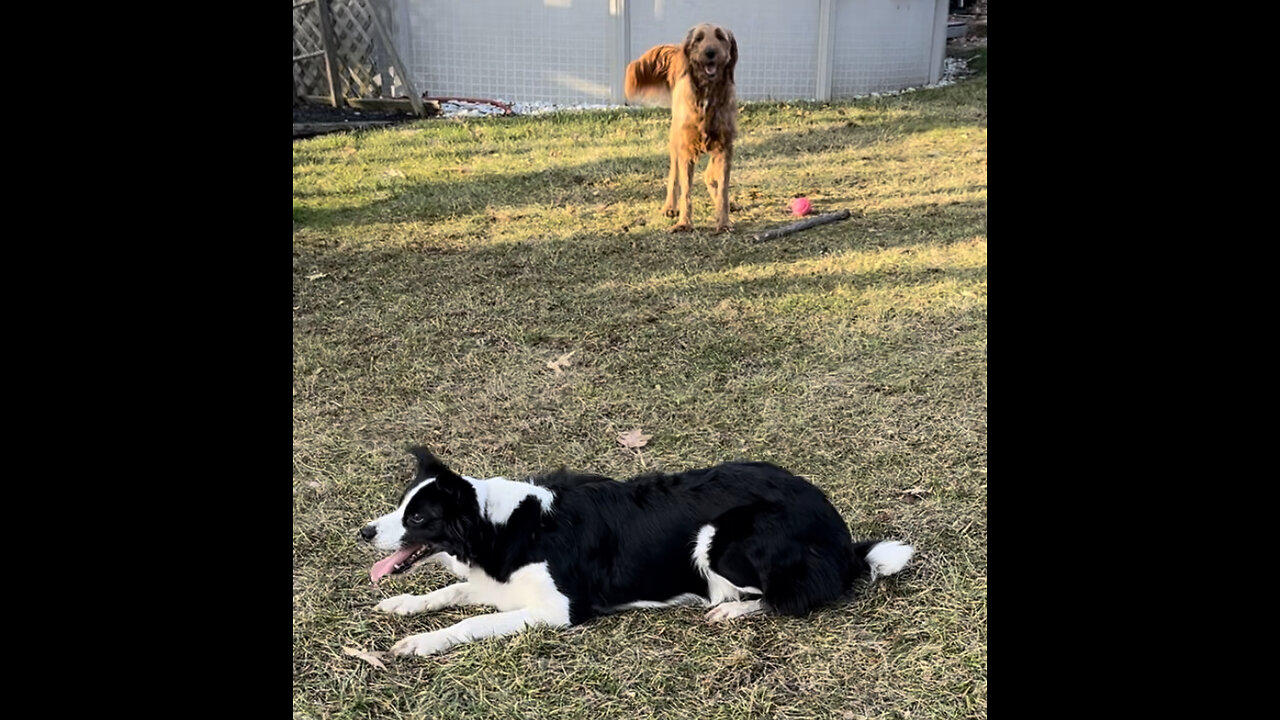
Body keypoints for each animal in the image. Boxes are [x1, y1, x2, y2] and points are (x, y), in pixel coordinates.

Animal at [622, 23, 737, 233]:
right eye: (699, 39)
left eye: (720, 37)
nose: (710, 52)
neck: (706, 96)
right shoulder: (686, 150)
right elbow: (686, 192)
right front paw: (684, 222)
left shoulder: (725, 146)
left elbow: (723, 188)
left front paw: (723, 222)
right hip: (675, 142)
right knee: (673, 176)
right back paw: (669, 206)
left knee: (710, 175)